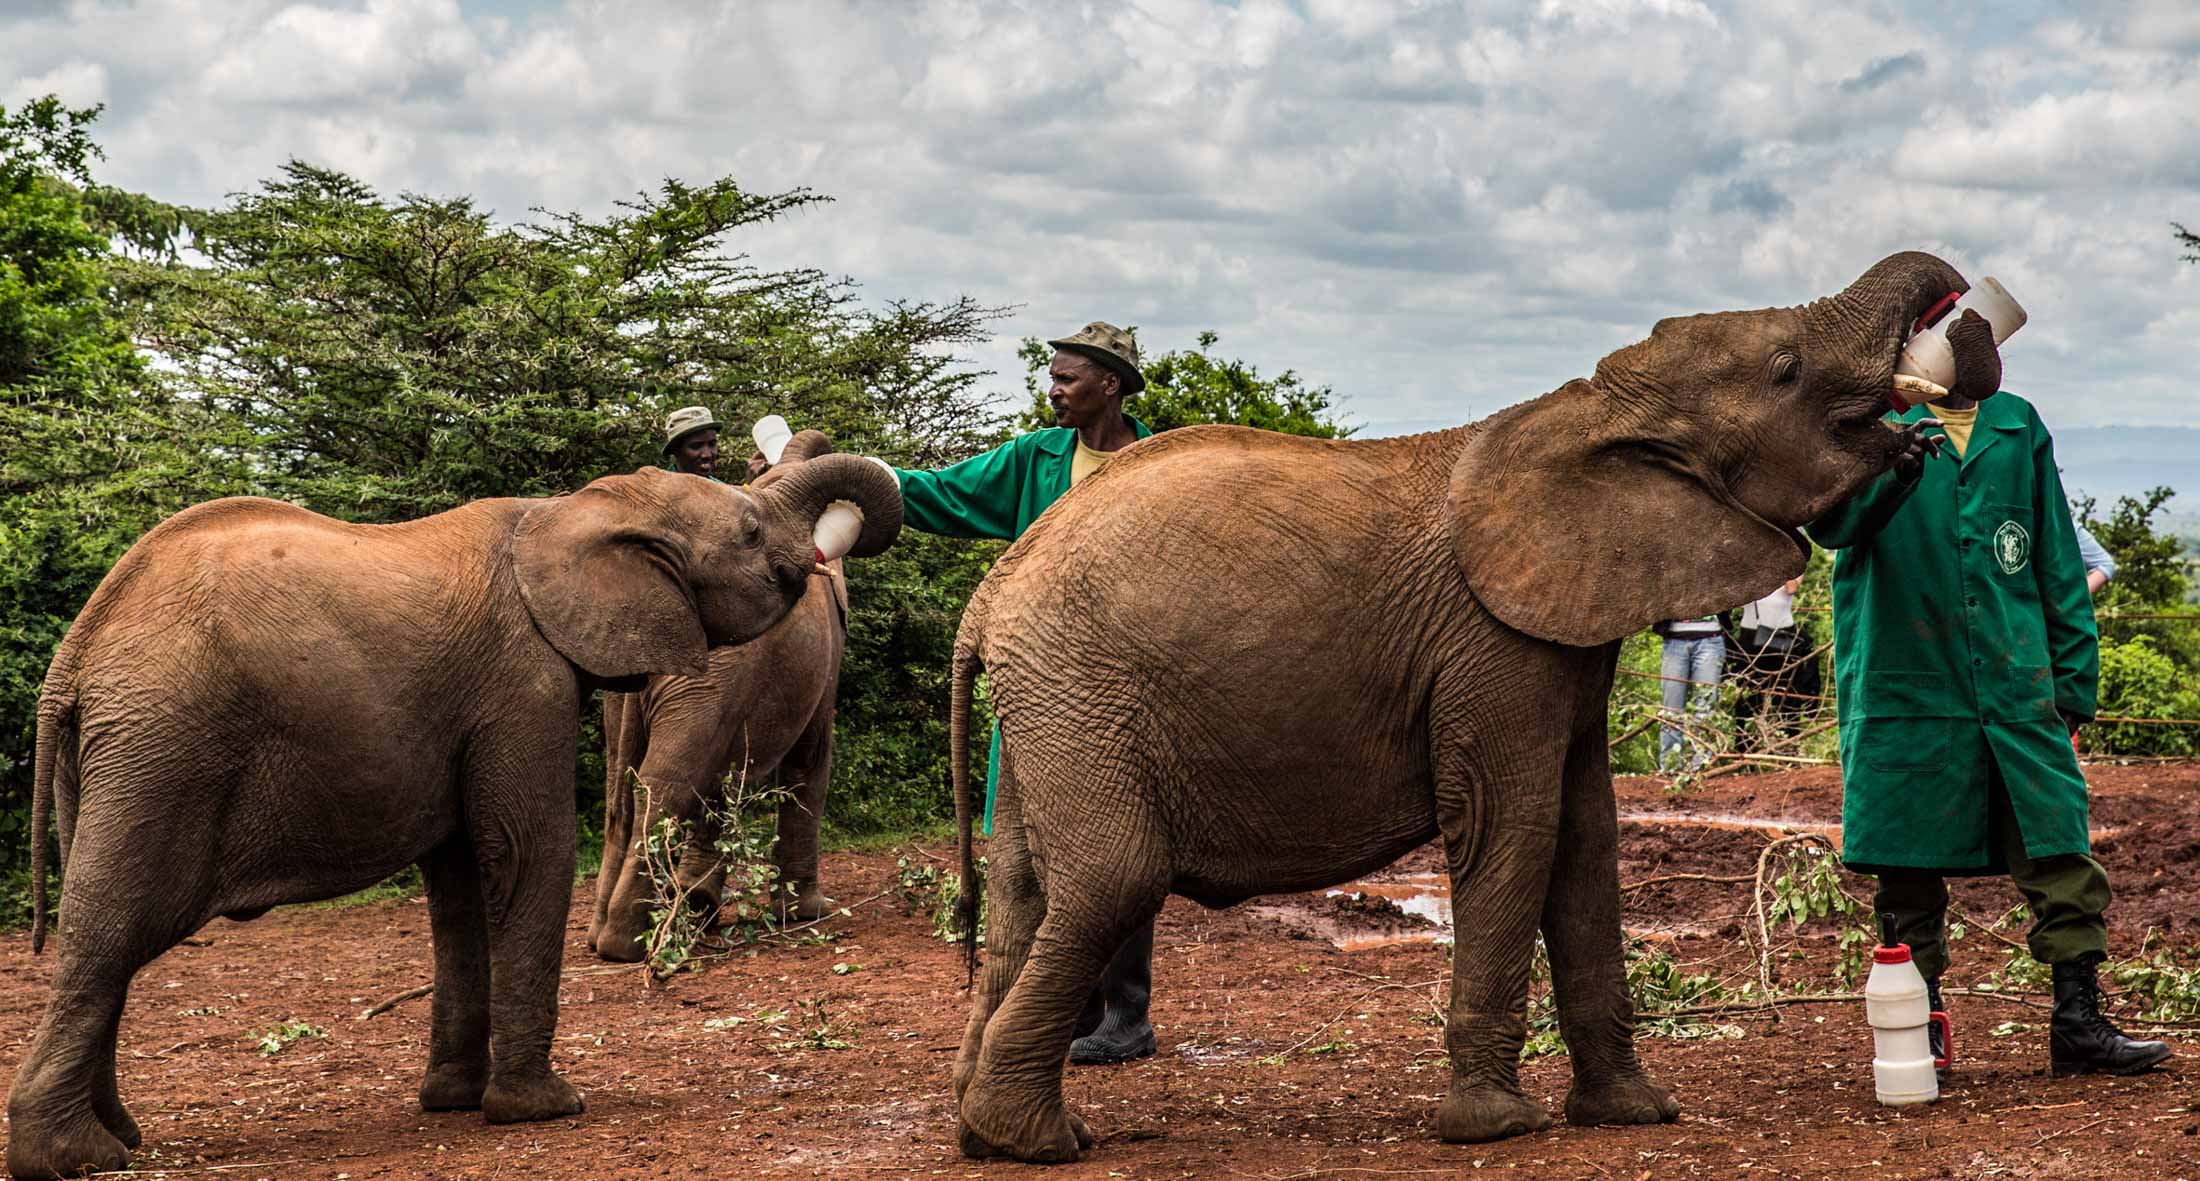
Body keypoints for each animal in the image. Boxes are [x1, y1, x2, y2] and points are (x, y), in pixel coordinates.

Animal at [589, 430, 852, 962]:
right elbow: (810, 757)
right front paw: (809, 913)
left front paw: (701, 904)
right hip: (705, 679)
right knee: (666, 783)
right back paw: (629, 943)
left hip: (629, 687)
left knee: (623, 789)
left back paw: (605, 934)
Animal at [942, 251, 2000, 1162]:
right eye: (1786, 369)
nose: (1962, 318)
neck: (1589, 408)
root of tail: (993, 591)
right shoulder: (1494, 645)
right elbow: (1515, 828)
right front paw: (1496, 1126)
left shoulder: (1561, 638)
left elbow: (1587, 842)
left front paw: (1636, 1111)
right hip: (1083, 687)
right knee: (1112, 881)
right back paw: (1034, 1140)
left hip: (1052, 701)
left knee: (1025, 894)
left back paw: (983, 1130)